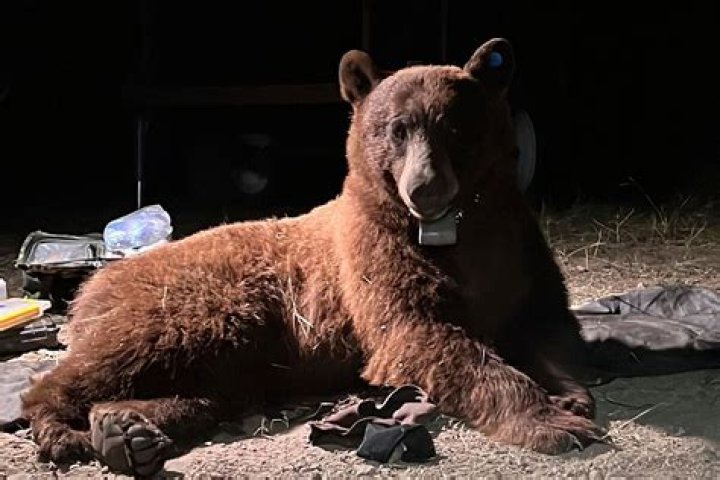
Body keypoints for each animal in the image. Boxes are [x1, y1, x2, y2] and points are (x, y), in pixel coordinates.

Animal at [22, 38, 603, 475]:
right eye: (397, 128)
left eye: (454, 127)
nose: (425, 188)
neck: (452, 230)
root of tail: (94, 285)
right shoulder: (375, 260)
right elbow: (424, 335)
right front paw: (554, 422)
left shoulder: (518, 247)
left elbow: (547, 322)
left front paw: (569, 396)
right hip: (189, 308)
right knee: (110, 360)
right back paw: (65, 429)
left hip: (230, 349)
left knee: (202, 390)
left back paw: (126, 429)